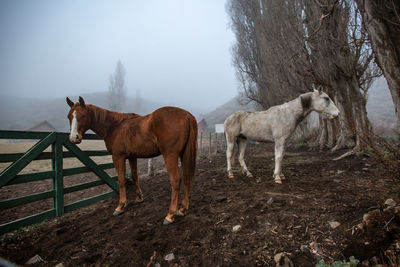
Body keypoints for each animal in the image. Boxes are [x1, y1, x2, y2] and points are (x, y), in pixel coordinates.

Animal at [66, 97, 198, 225]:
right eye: (69, 116)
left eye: (83, 115)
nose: (73, 138)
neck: (114, 126)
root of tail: (186, 115)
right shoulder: (132, 156)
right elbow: (134, 176)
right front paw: (139, 198)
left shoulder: (118, 157)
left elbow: (121, 180)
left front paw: (120, 206)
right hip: (184, 154)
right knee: (186, 178)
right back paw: (182, 209)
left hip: (170, 155)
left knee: (175, 180)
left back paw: (170, 215)